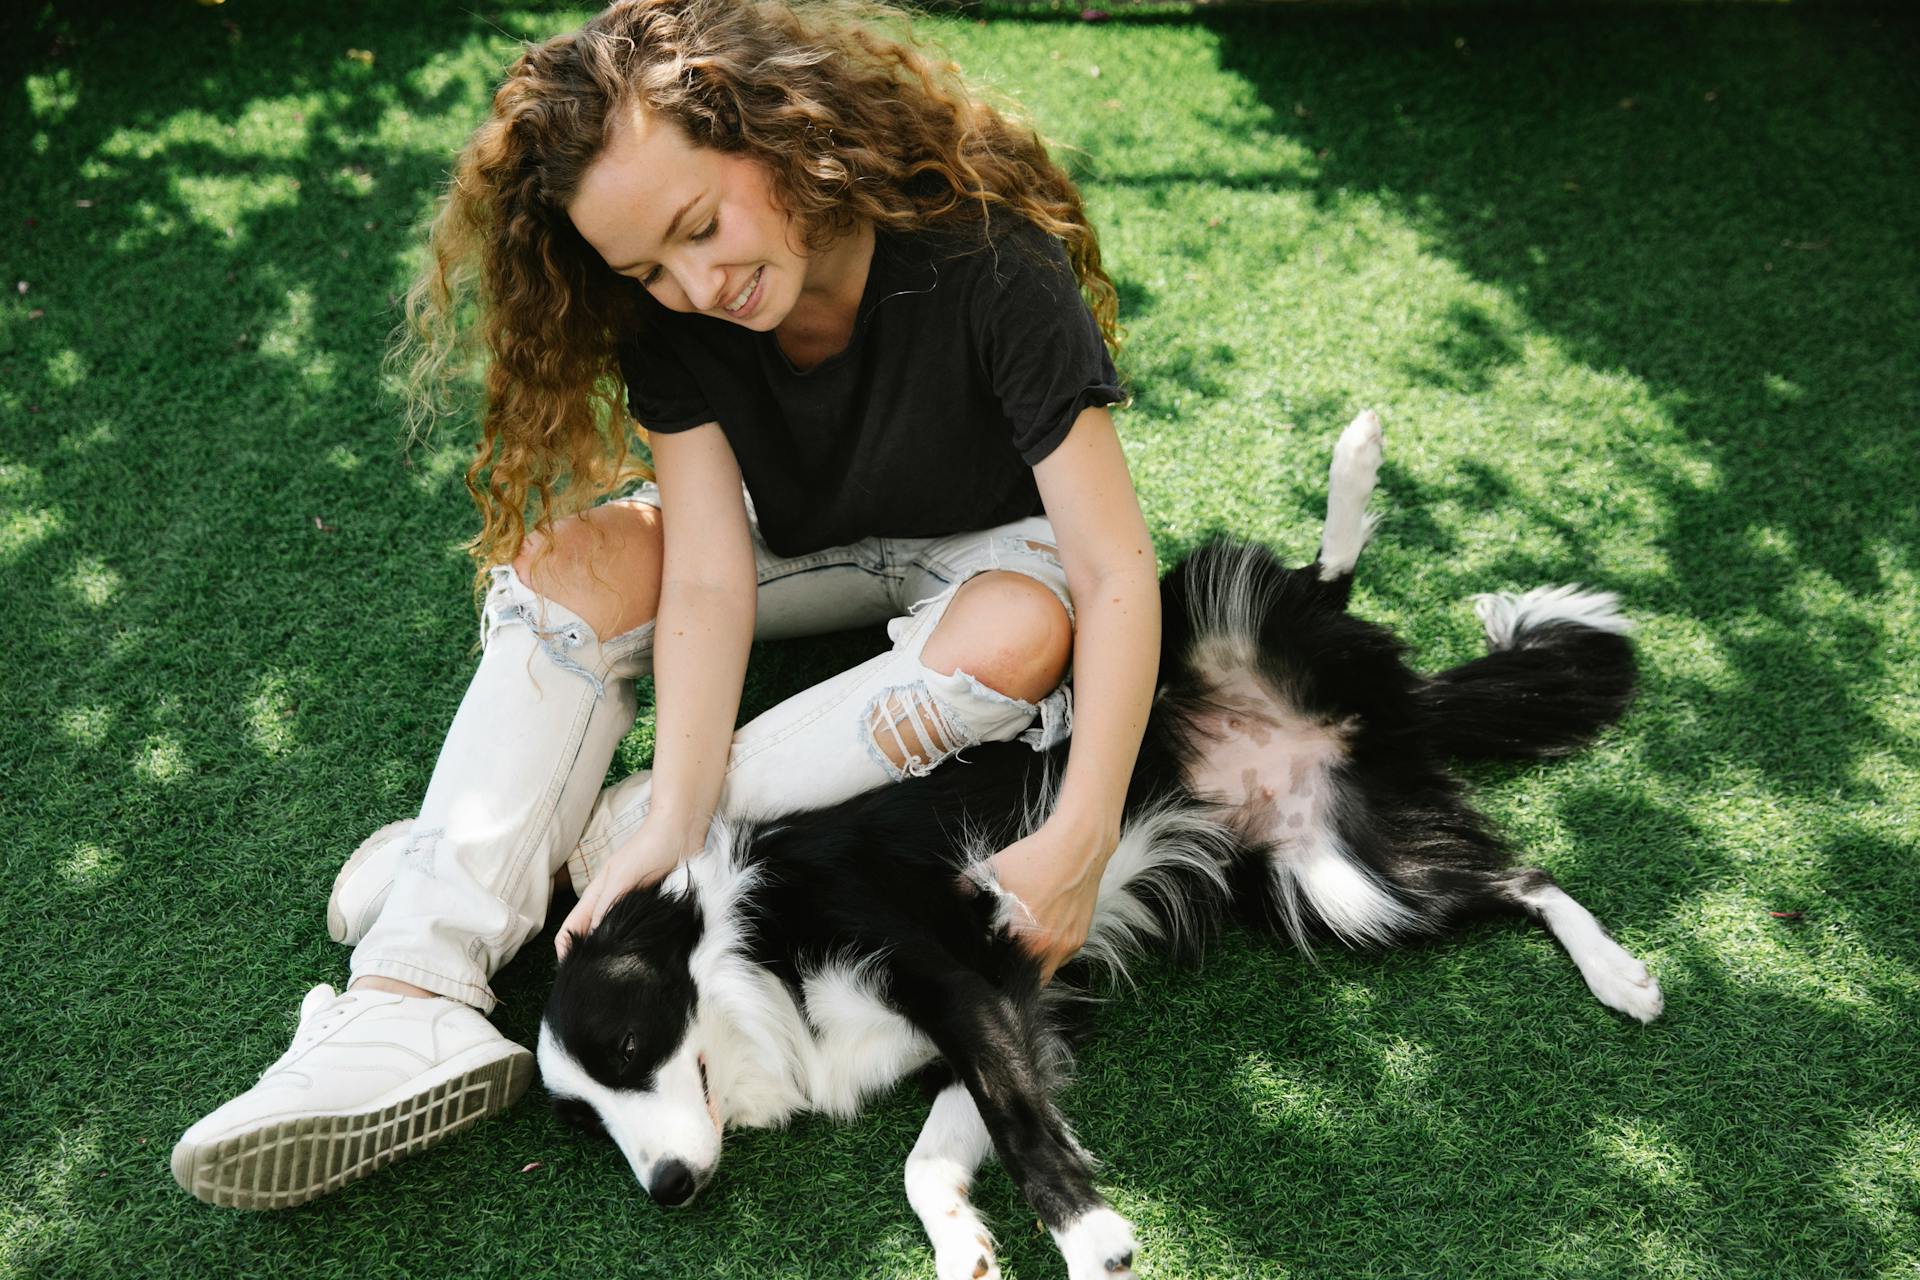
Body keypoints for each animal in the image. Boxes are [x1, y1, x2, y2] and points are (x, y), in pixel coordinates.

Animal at [533, 412, 1658, 1280]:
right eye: (584, 1120)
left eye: (627, 1049)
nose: (668, 1190)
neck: (752, 952)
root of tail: (1393, 709)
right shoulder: (1008, 1008)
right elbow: (933, 1158)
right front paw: (965, 1246)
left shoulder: (954, 968)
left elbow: (1021, 1129)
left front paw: (1088, 1239)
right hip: (1340, 877)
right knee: (1521, 874)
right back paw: (1621, 977)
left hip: (1199, 622)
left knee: (1317, 584)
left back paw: (1354, 461)